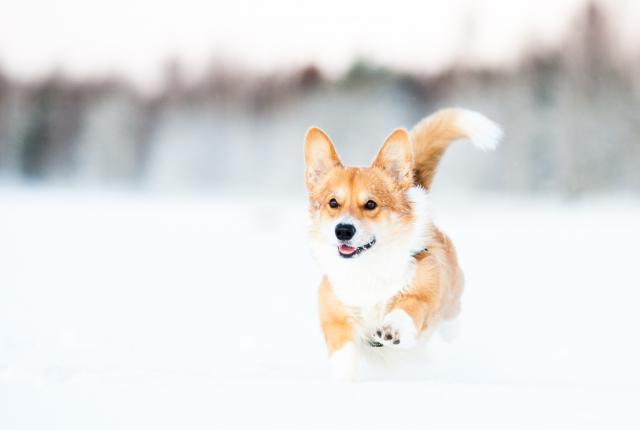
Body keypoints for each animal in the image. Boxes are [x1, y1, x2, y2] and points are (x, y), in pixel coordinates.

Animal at [302, 107, 502, 380]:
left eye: (371, 204)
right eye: (333, 202)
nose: (343, 230)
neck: (368, 270)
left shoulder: (420, 294)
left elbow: (406, 310)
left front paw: (391, 329)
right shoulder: (337, 318)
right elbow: (344, 355)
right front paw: (347, 378)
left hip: (451, 296)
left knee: (452, 317)